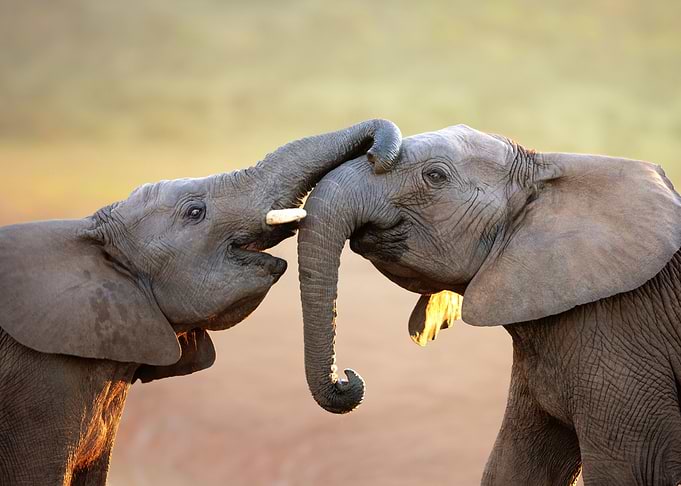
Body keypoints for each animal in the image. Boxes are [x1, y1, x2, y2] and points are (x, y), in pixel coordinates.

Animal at [297, 124, 681, 485]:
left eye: (435, 176)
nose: (347, 379)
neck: (546, 172)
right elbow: (515, 466)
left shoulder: (623, 336)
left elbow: (632, 470)